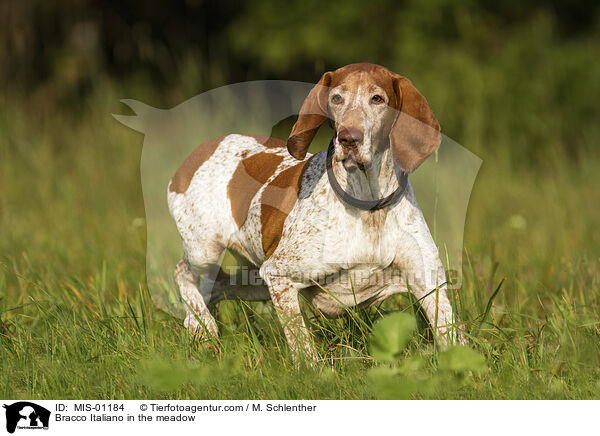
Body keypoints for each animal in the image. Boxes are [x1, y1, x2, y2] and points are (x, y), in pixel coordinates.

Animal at [169, 63, 464, 360]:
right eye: (337, 98)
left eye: (377, 99)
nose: (348, 138)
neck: (368, 205)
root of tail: (200, 150)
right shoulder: (279, 276)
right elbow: (302, 346)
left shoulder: (429, 283)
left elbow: (455, 342)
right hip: (206, 252)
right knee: (183, 272)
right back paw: (200, 325)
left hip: (255, 282)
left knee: (215, 287)